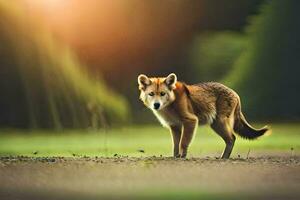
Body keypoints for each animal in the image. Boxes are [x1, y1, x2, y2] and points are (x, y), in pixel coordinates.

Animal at [137, 72, 268, 159]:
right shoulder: (175, 126)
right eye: (151, 94)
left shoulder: (190, 121)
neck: (171, 104)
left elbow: (183, 142)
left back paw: (223, 158)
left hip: (219, 123)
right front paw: (176, 157)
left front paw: (182, 156)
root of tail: (235, 93)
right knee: (231, 139)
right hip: (216, 125)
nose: (156, 105)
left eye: (162, 94)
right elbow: (175, 145)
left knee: (232, 138)